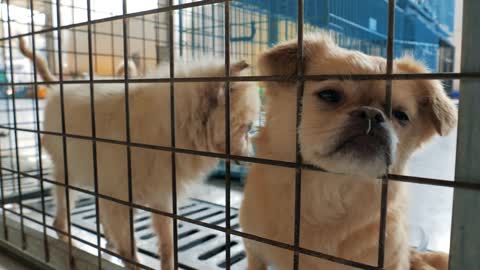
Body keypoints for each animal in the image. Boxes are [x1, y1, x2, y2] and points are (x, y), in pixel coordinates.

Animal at [23, 39, 258, 268]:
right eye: (247, 128)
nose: (252, 158)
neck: (170, 131)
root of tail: (56, 89)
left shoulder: (162, 198)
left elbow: (168, 246)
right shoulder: (119, 200)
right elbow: (129, 251)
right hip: (67, 175)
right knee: (60, 220)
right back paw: (69, 242)